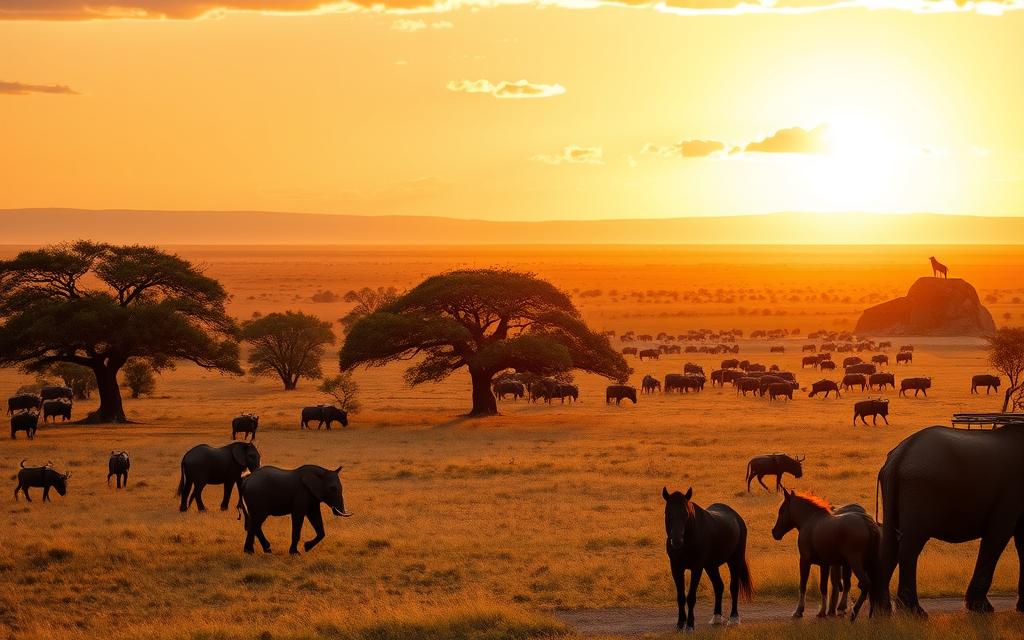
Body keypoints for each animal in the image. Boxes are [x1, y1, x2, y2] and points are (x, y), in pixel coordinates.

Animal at [872, 423, 1024, 614]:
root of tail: (899, 455)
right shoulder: (1011, 493)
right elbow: (999, 535)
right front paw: (981, 608)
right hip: (919, 488)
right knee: (910, 546)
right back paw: (914, 611)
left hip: (897, 487)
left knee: (890, 543)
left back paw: (883, 611)